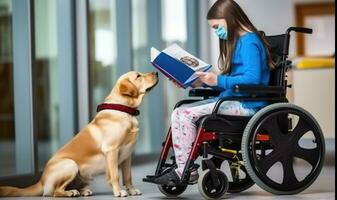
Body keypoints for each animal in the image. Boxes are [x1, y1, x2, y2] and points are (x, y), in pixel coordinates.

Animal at [0, 70, 159, 197]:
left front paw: (131, 190)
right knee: (54, 192)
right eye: (138, 76)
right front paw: (119, 191)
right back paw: (70, 192)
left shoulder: (127, 155)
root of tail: (41, 180)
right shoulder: (111, 150)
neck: (123, 109)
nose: (156, 72)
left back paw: (82, 191)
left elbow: (127, 176)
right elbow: (115, 175)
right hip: (70, 164)